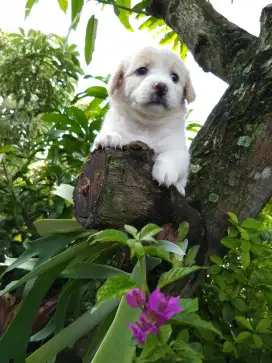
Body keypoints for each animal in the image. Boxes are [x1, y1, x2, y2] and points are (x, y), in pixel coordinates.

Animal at [93, 47, 196, 198]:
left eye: (174, 77)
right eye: (141, 70)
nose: (161, 86)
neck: (146, 123)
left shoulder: (179, 150)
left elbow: (170, 156)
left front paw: (166, 171)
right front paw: (109, 136)